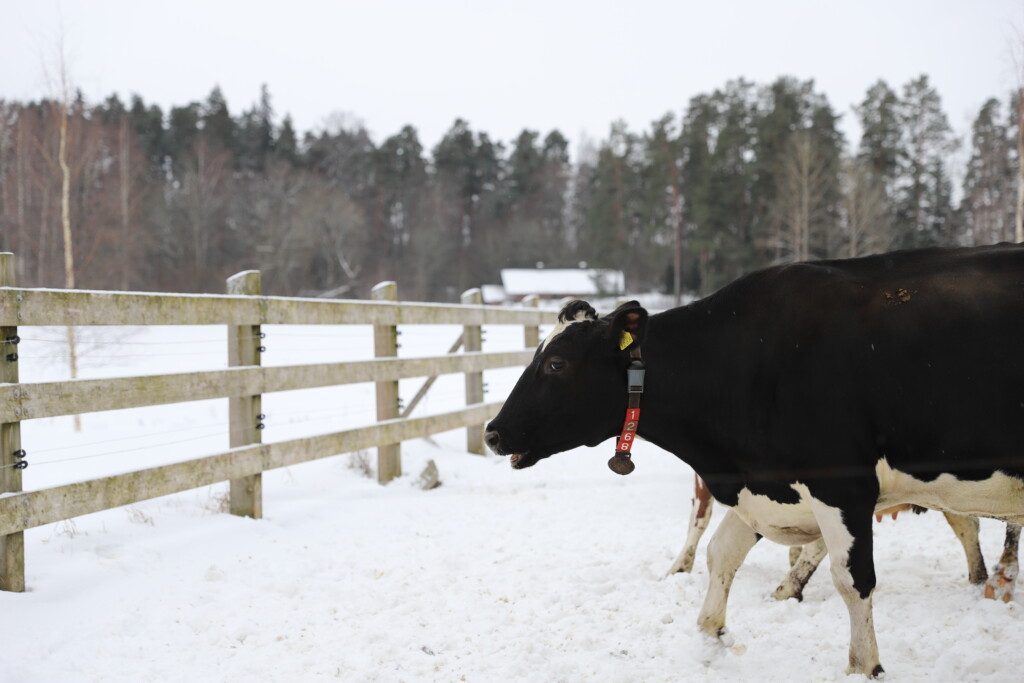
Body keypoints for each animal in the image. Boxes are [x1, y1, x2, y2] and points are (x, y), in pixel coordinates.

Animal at [483, 242, 1024, 675]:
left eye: (556, 364)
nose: (492, 432)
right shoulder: (760, 484)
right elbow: (720, 555)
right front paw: (711, 636)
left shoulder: (842, 484)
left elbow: (853, 580)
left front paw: (863, 666)